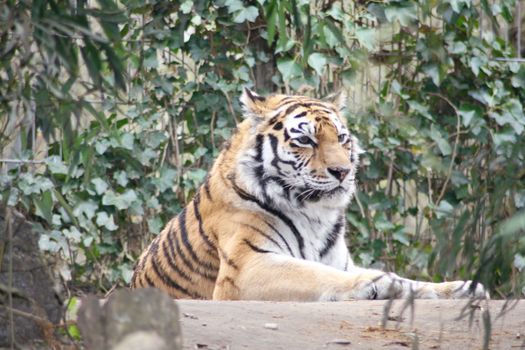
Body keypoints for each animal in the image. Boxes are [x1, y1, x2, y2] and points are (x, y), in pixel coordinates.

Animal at [129, 90, 486, 300]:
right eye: (306, 140)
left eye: (341, 138)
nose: (343, 171)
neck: (315, 212)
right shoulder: (247, 265)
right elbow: (316, 274)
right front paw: (379, 283)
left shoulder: (341, 261)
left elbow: (414, 282)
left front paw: (462, 288)